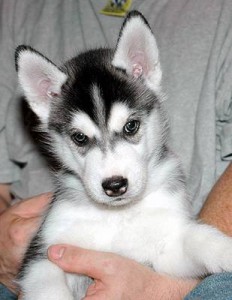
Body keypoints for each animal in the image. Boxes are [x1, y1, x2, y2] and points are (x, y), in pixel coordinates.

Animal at [15, 11, 232, 300]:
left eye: (131, 126)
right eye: (79, 138)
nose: (115, 185)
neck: (117, 215)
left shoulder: (165, 249)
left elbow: (198, 239)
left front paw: (226, 251)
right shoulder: (43, 254)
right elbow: (49, 290)